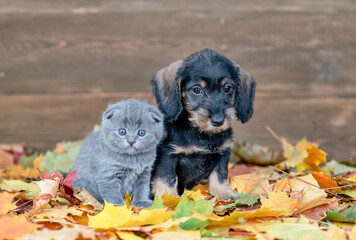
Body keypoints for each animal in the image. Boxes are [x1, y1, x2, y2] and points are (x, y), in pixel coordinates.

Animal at [152, 48, 254, 199]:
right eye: (196, 90)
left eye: (227, 88)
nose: (218, 121)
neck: (200, 133)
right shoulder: (168, 156)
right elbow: (167, 180)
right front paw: (168, 199)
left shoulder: (222, 153)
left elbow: (220, 176)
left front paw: (224, 194)